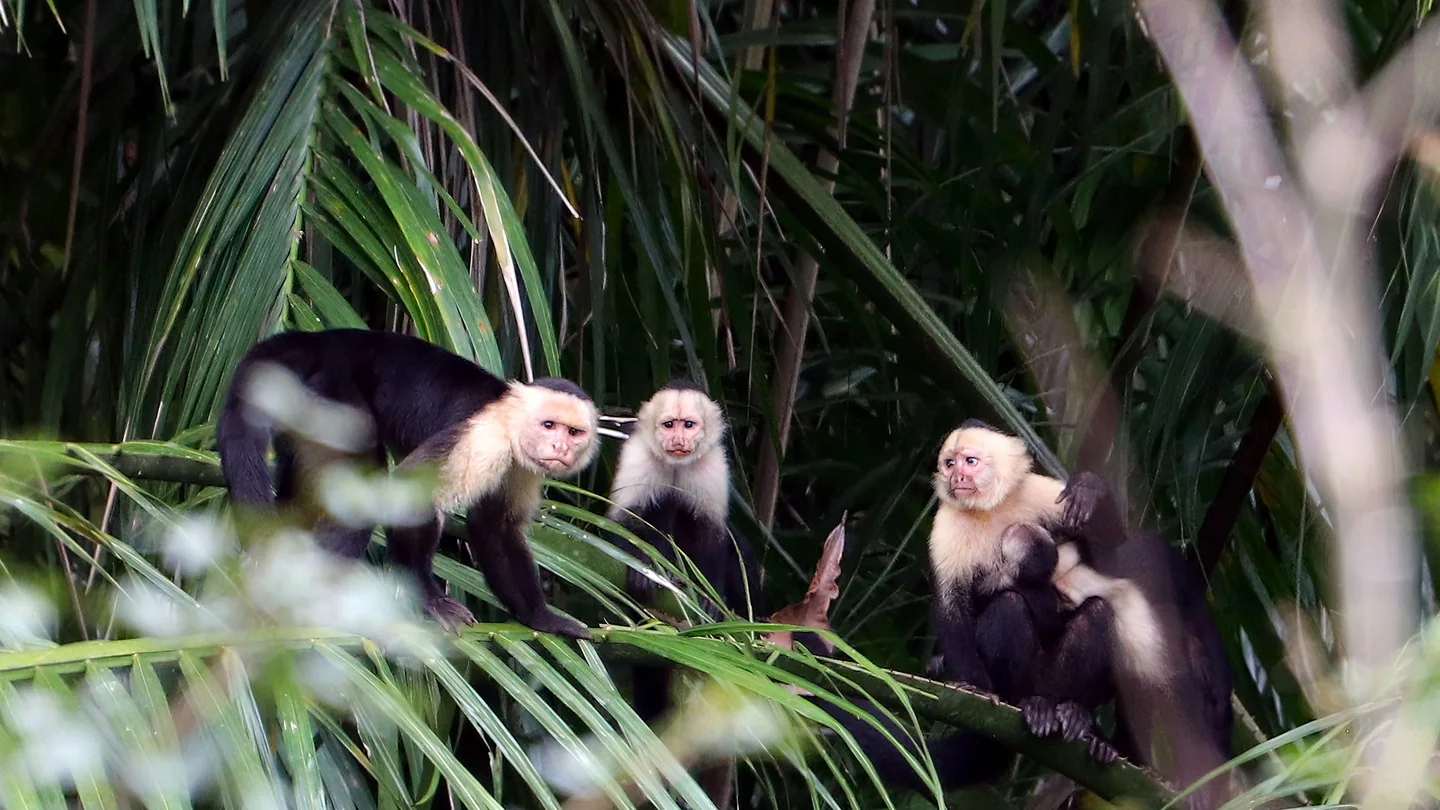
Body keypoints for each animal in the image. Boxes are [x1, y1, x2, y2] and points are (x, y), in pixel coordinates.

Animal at [216, 328, 600, 639]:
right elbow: (411, 492)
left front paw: (541, 618)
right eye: (549, 425)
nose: (560, 447)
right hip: (331, 398)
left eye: (573, 432)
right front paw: (429, 598)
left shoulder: (523, 466)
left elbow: (496, 527)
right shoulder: (485, 436)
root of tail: (322, 340)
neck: (509, 419)